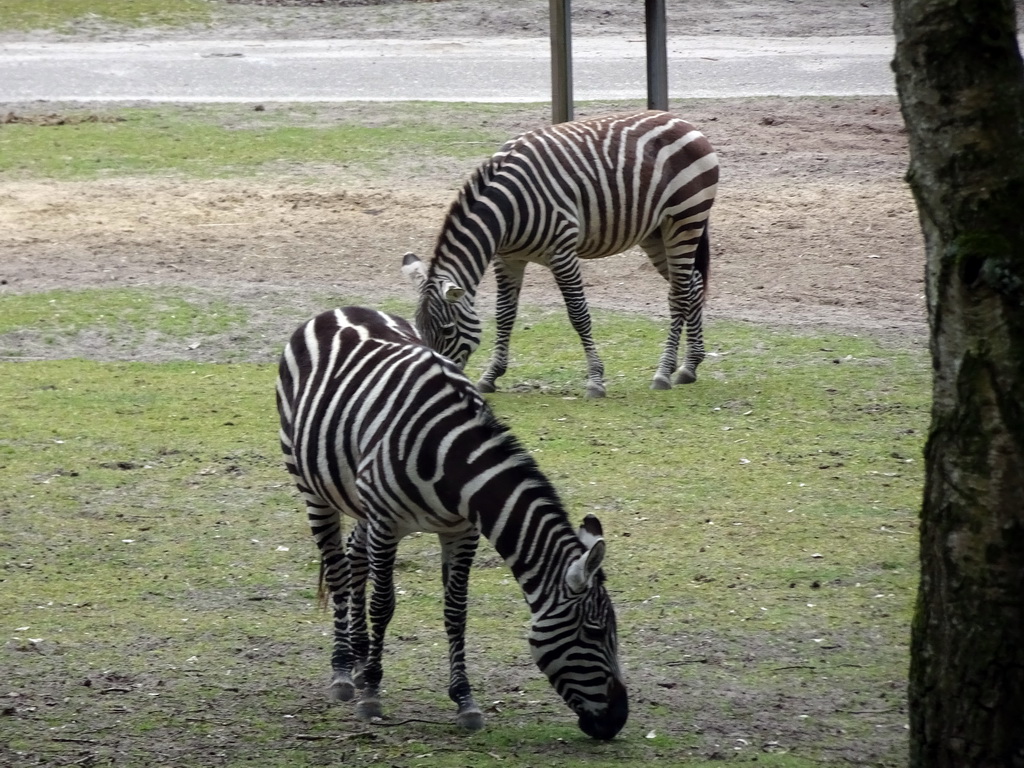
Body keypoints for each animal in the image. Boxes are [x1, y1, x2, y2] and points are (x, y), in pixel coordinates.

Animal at [276, 305, 626, 741]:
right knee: (339, 570)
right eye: (595, 632)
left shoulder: (462, 531)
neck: (453, 463)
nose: (617, 720)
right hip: (314, 488)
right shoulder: (387, 524)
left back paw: (357, 658)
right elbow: (384, 605)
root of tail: (340, 309)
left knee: (355, 558)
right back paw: (343, 671)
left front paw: (465, 700)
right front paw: (371, 693)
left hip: (360, 498)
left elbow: (456, 612)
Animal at [401, 111, 720, 399]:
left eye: (447, 331)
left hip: (684, 219)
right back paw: (689, 366)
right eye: (419, 330)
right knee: (692, 285)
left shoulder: (562, 252)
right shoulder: (507, 258)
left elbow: (578, 314)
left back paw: (664, 372)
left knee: (679, 293)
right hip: (654, 233)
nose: (434, 385)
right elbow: (504, 315)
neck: (506, 212)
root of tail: (683, 122)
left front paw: (595, 380)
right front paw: (491, 376)